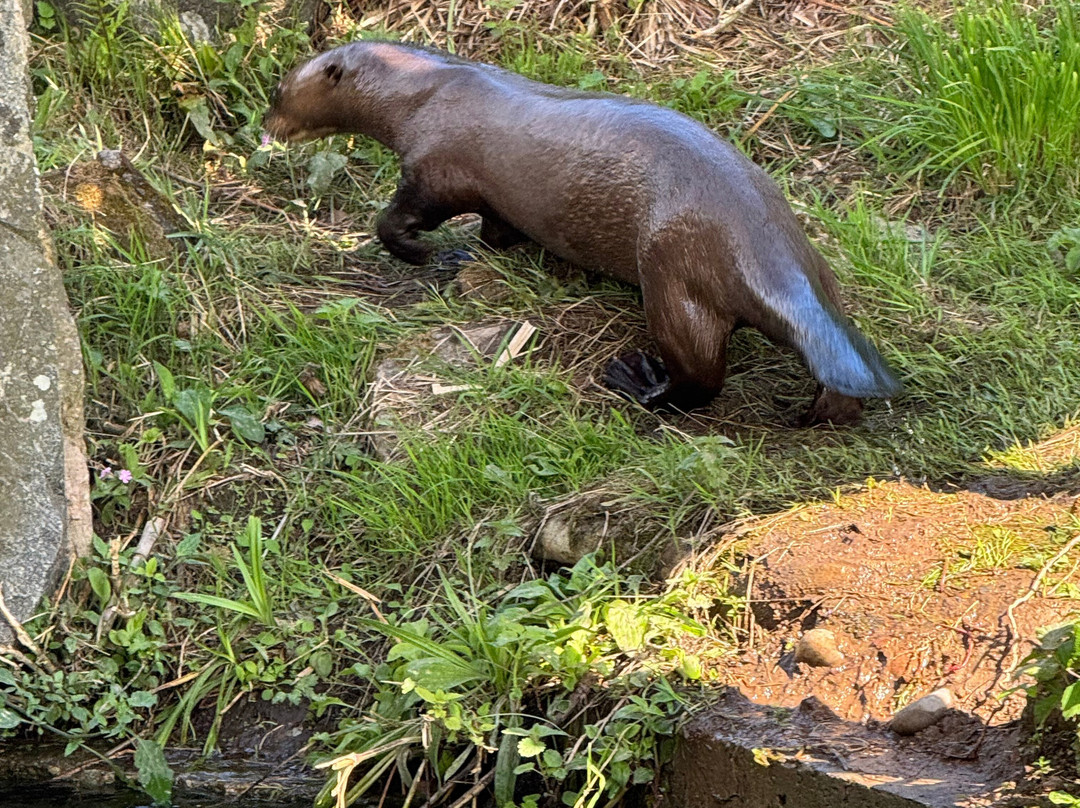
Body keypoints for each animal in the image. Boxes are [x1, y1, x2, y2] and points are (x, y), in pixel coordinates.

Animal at [264, 41, 902, 424]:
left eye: (276, 92)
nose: (266, 127)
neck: (427, 92)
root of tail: (761, 249)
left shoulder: (434, 170)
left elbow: (396, 223)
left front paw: (433, 256)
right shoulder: (497, 200)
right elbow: (499, 232)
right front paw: (470, 252)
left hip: (670, 272)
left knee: (700, 378)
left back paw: (638, 382)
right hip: (812, 263)